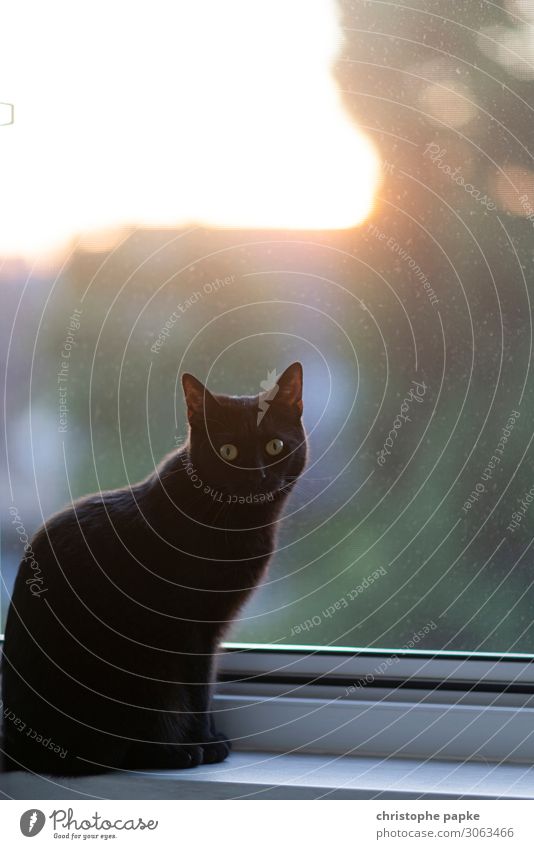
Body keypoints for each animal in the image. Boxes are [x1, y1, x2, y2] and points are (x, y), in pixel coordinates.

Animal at [1, 362, 306, 772]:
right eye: (227, 451)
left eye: (275, 446)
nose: (255, 476)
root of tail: (17, 744)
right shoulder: (194, 629)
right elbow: (199, 690)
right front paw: (206, 741)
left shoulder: (211, 631)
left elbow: (206, 687)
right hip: (141, 677)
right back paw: (176, 753)